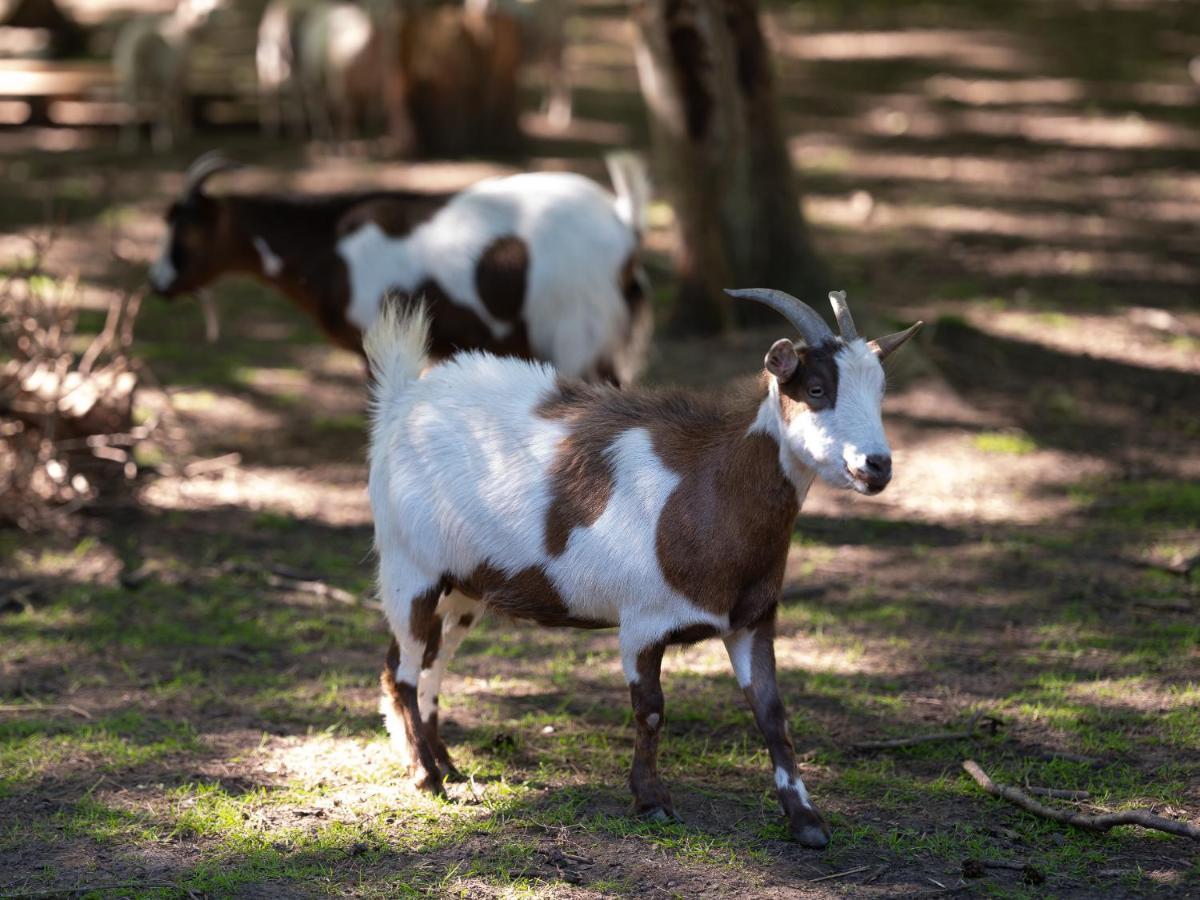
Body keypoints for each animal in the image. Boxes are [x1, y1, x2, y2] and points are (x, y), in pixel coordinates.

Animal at [112, 0, 218, 151]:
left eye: (208, 11)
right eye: (203, 11)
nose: (201, 19)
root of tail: (143, 39)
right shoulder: (180, 77)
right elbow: (181, 102)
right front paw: (182, 132)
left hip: (130, 78)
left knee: (130, 107)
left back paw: (129, 142)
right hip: (162, 76)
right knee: (162, 106)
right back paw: (163, 140)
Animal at [156, 153, 657, 386]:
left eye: (187, 227)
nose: (158, 282)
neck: (330, 246)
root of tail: (623, 222)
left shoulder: (374, 341)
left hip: (575, 335)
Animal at [360, 290, 921, 854]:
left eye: (880, 391)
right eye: (817, 388)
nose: (877, 466)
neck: (707, 487)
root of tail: (404, 399)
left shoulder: (751, 620)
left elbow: (772, 715)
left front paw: (806, 820)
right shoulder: (641, 624)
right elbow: (650, 709)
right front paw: (651, 801)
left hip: (464, 588)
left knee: (430, 662)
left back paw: (445, 764)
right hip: (411, 567)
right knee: (401, 669)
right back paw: (426, 777)